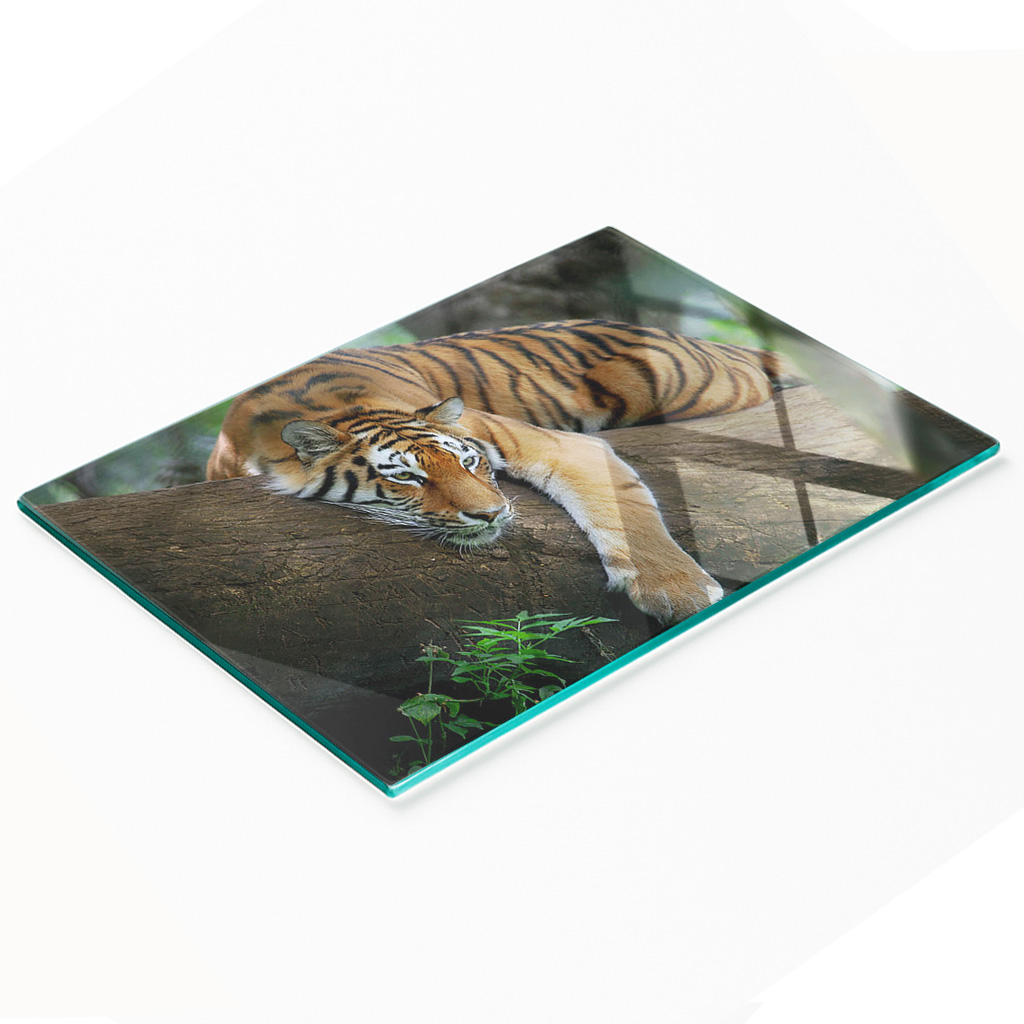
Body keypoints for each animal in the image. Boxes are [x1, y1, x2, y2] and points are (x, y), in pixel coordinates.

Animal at [207, 319, 792, 624]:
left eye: (469, 461)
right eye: (407, 478)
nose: (492, 515)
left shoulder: (556, 443)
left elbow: (623, 506)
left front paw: (679, 593)